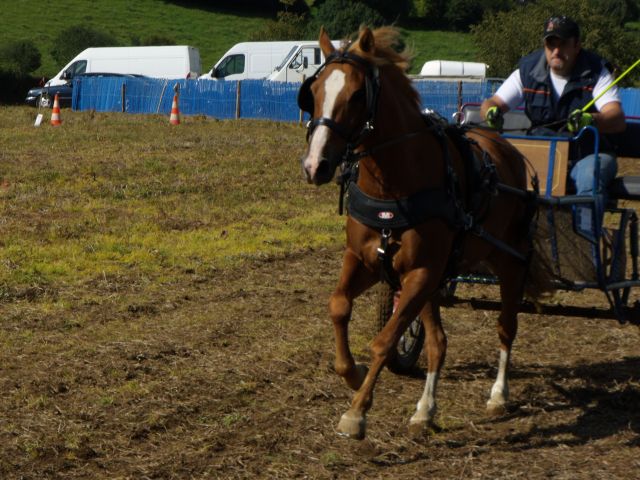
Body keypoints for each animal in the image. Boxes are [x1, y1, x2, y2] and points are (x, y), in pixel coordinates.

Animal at [298, 27, 548, 438]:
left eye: (356, 95)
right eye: (314, 91)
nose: (315, 165)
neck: (394, 188)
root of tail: (509, 150)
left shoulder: (420, 273)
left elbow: (384, 341)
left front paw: (357, 411)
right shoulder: (367, 261)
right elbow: (338, 306)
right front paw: (352, 374)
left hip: (508, 262)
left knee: (506, 327)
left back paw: (498, 394)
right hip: (433, 279)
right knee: (438, 343)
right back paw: (426, 410)